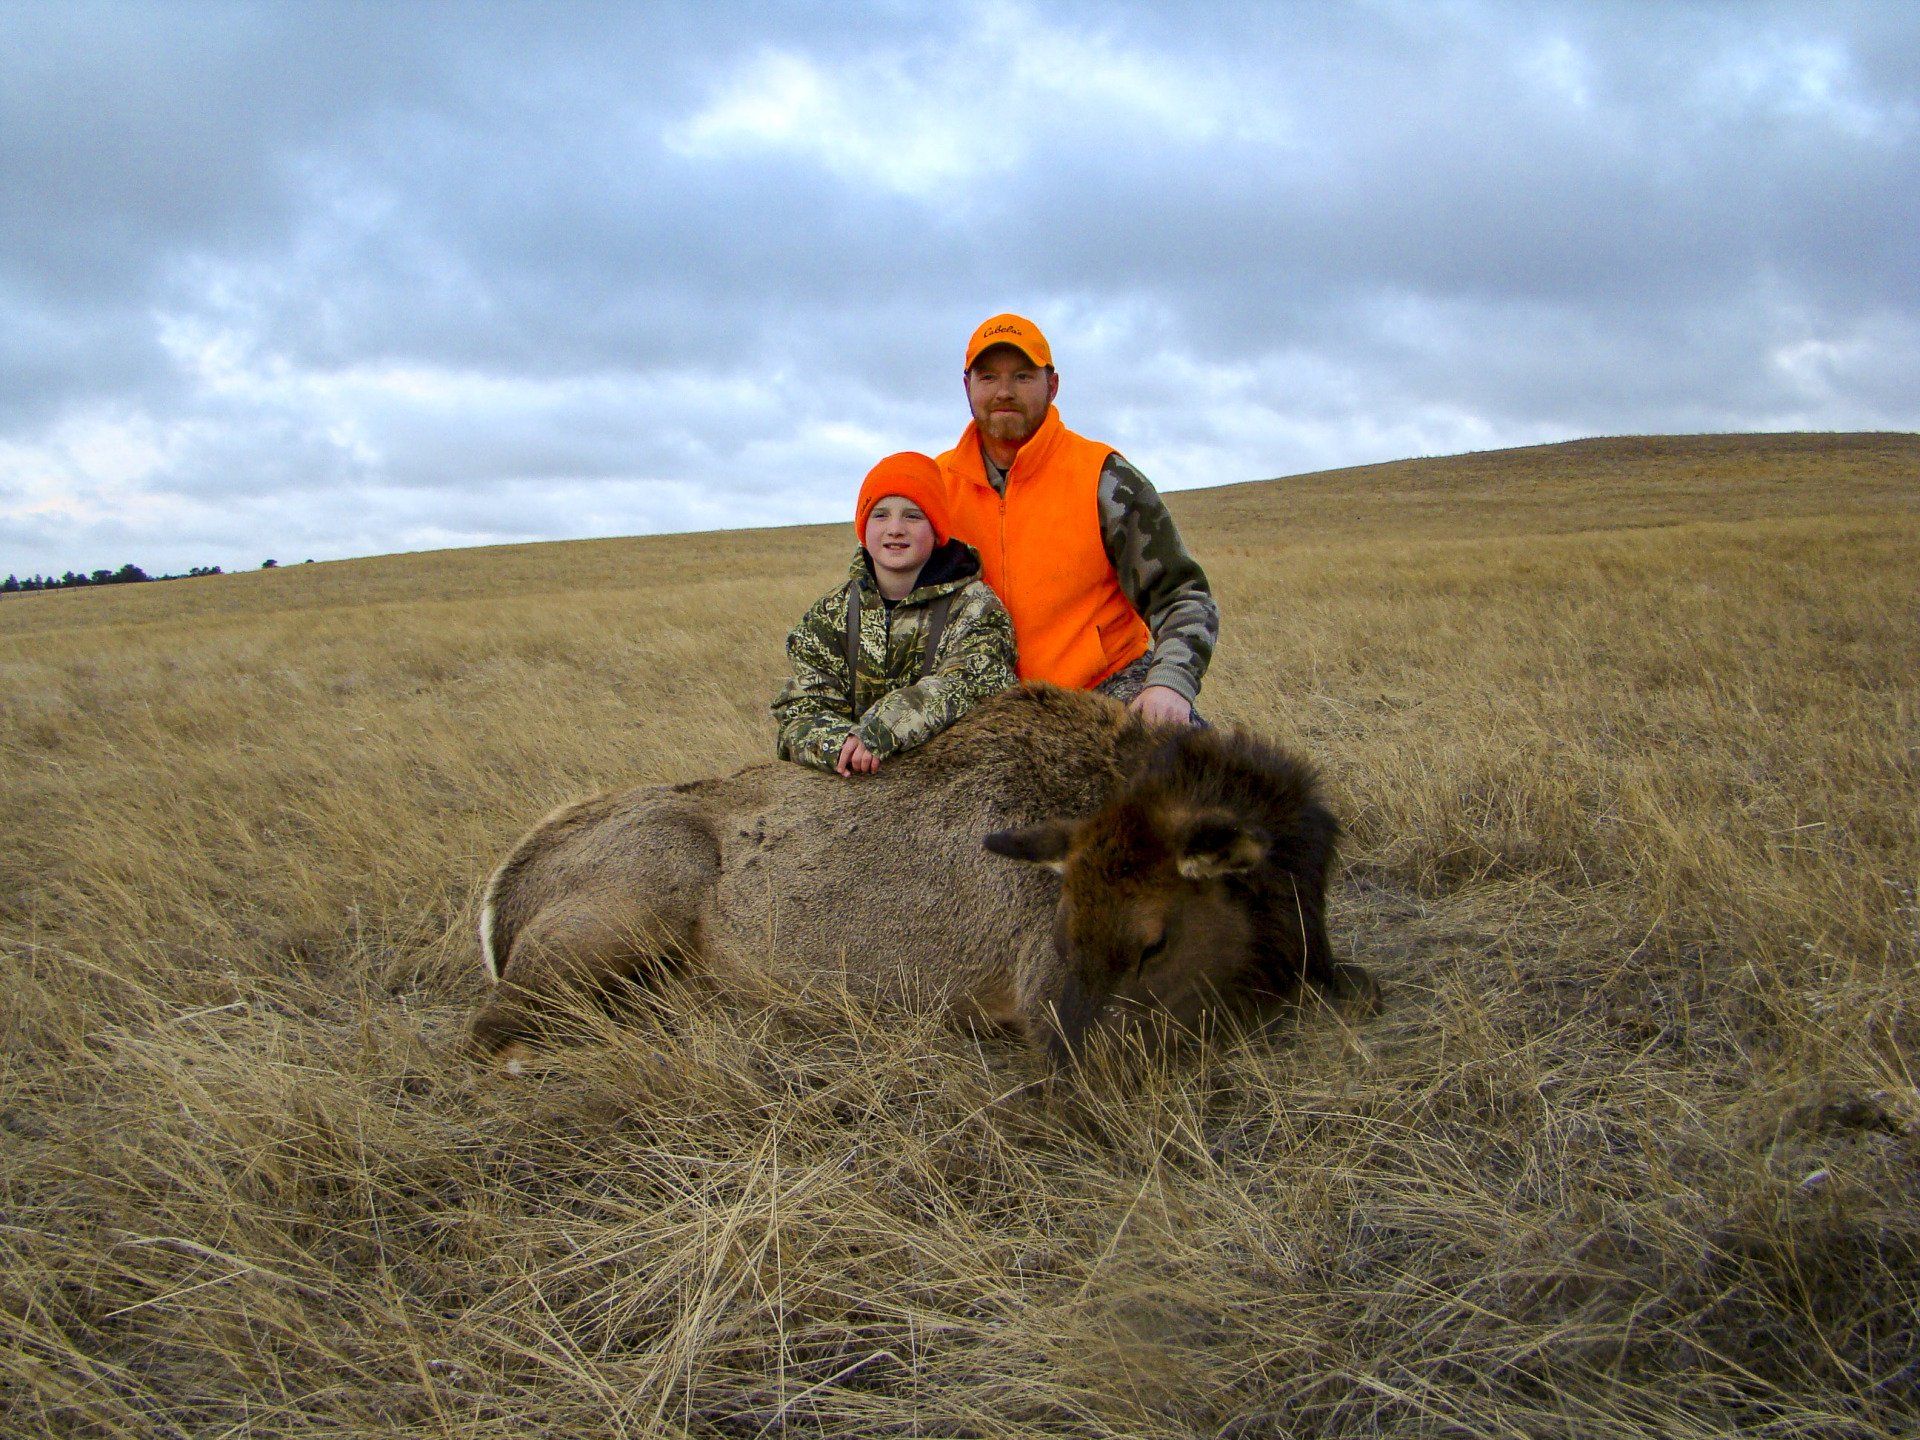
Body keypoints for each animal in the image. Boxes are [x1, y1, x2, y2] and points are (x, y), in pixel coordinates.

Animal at [471, 683, 1374, 1069]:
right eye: (1066, 928)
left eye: (1154, 939)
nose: (1066, 1064)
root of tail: (502, 893)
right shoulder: (1042, 983)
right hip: (621, 910)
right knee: (490, 1034)